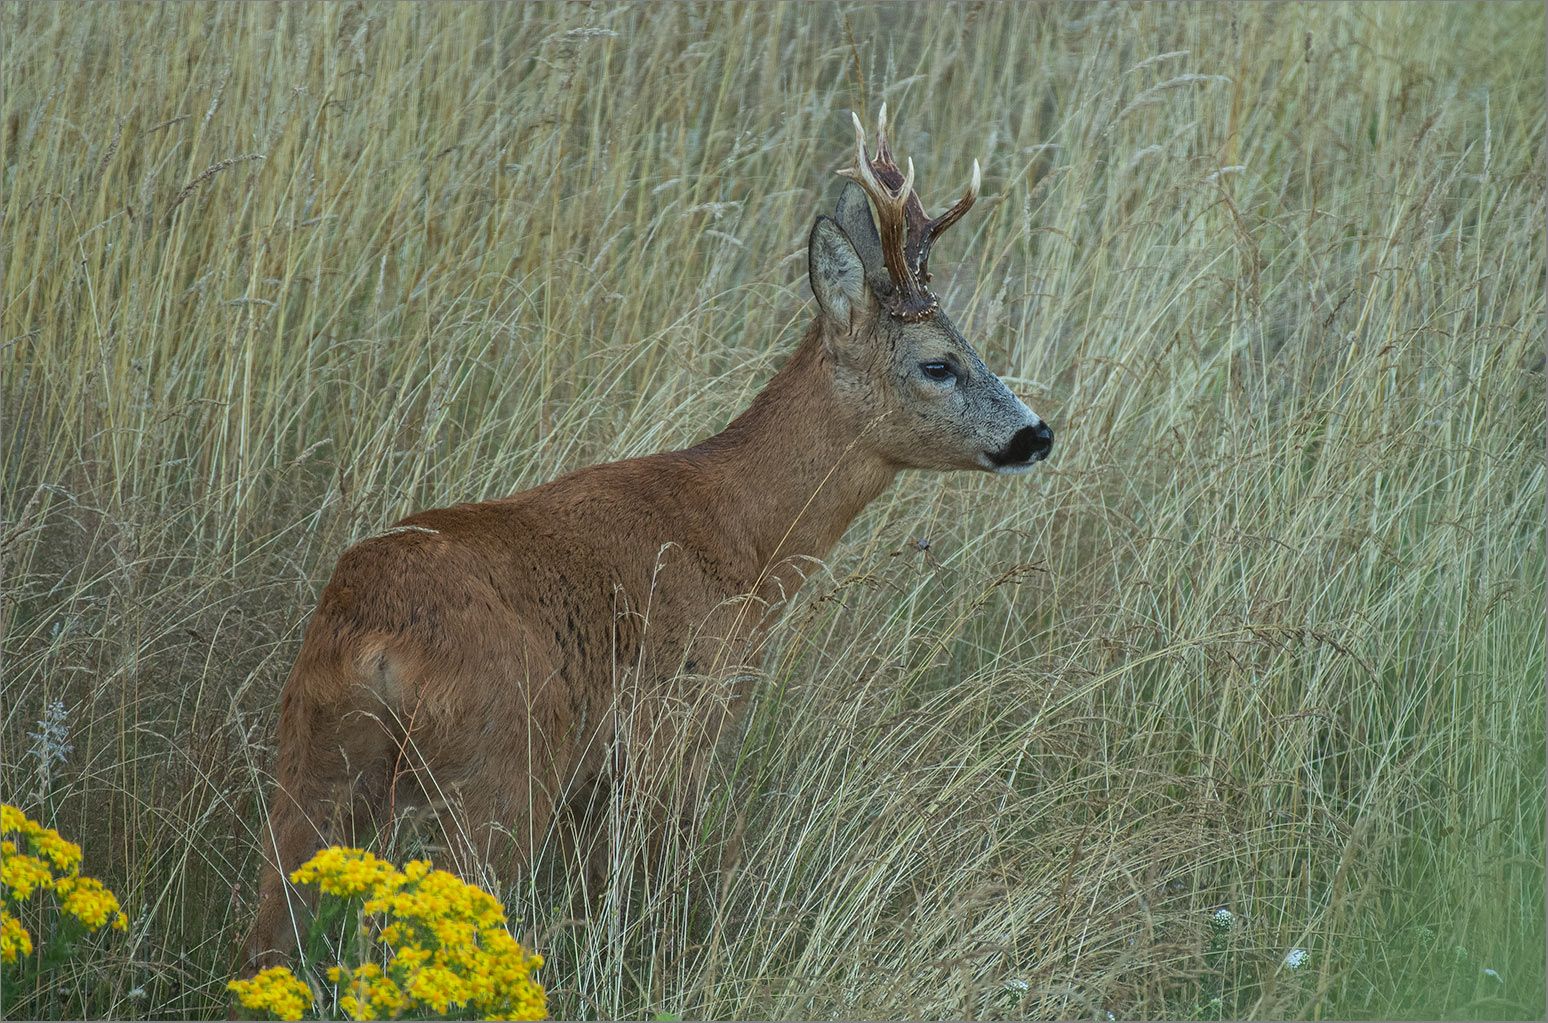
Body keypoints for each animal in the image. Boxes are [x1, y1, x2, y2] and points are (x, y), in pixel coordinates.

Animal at [244, 107, 1052, 971]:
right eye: (939, 364)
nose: (1036, 434)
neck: (745, 541)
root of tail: (377, 642)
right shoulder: (673, 727)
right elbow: (652, 894)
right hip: (497, 772)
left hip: (310, 763)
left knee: (268, 937)